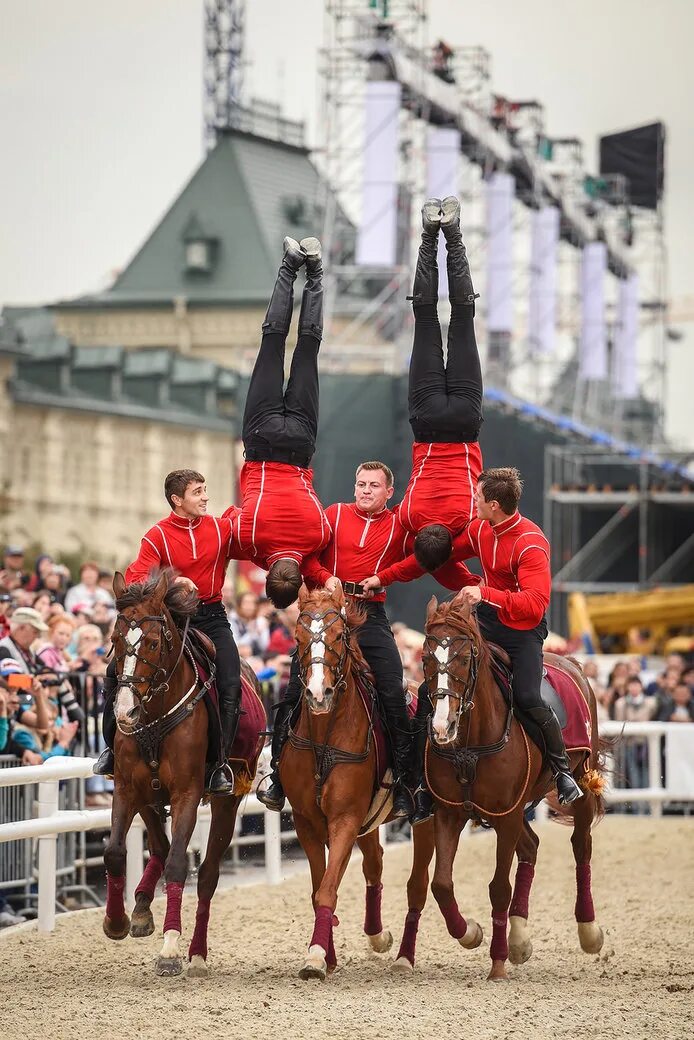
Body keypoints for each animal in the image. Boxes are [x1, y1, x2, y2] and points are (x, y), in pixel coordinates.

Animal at [100, 574, 266, 977]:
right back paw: (141, 908)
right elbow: (115, 851)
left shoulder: (187, 795)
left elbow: (179, 864)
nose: (124, 711)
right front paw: (117, 921)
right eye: (115, 640)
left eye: (153, 642)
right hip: (148, 797)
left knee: (206, 876)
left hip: (225, 803)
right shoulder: (127, 790)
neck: (156, 713)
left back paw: (197, 953)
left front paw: (170, 949)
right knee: (159, 847)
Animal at [278, 586, 434, 981]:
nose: (318, 693)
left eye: (338, 636)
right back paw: (378, 936)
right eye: (297, 638)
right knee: (374, 866)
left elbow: (328, 888)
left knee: (415, 884)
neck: (323, 739)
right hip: (370, 824)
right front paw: (326, 954)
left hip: (425, 818)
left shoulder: (345, 820)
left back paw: (403, 954)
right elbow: (320, 887)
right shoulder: (306, 822)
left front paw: (317, 956)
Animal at [420, 594, 603, 981]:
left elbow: (499, 888)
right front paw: (471, 933)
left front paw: (498, 963)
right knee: (531, 847)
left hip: (579, 782)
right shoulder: (451, 812)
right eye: (426, 658)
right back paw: (519, 939)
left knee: (581, 846)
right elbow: (441, 884)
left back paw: (589, 931)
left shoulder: (506, 816)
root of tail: (571, 662)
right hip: (515, 809)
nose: (442, 725)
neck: (471, 742)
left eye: (464, 657)